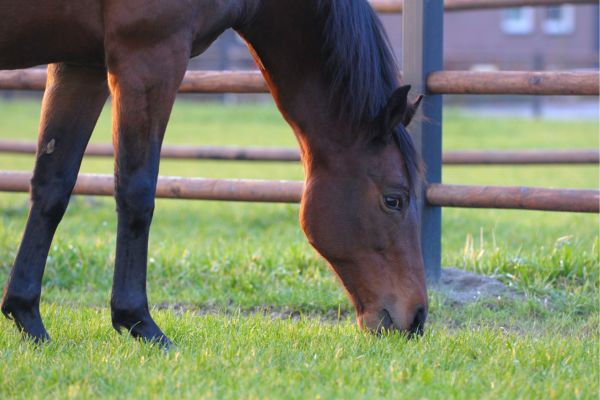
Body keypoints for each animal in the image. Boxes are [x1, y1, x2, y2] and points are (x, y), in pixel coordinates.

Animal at [2, 0, 428, 346]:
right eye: (394, 200)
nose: (418, 318)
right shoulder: (150, 56)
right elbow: (136, 191)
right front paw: (139, 322)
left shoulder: (80, 63)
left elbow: (53, 186)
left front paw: (27, 317)